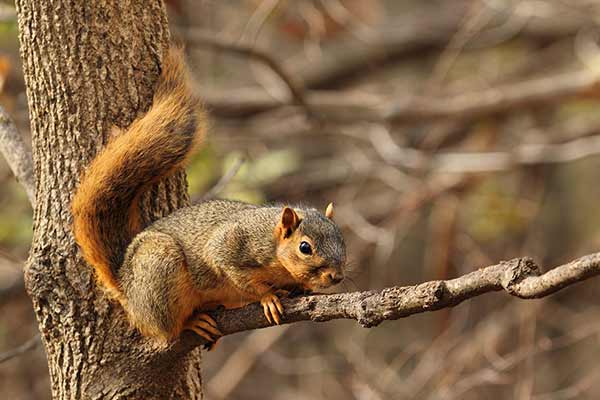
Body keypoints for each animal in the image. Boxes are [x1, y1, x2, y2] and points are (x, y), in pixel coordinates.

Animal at [71, 47, 346, 346]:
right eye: (305, 247)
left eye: (343, 240)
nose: (337, 277)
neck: (274, 247)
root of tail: (125, 284)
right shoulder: (231, 246)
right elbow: (239, 275)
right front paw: (268, 297)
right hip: (159, 269)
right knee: (165, 329)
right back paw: (191, 322)